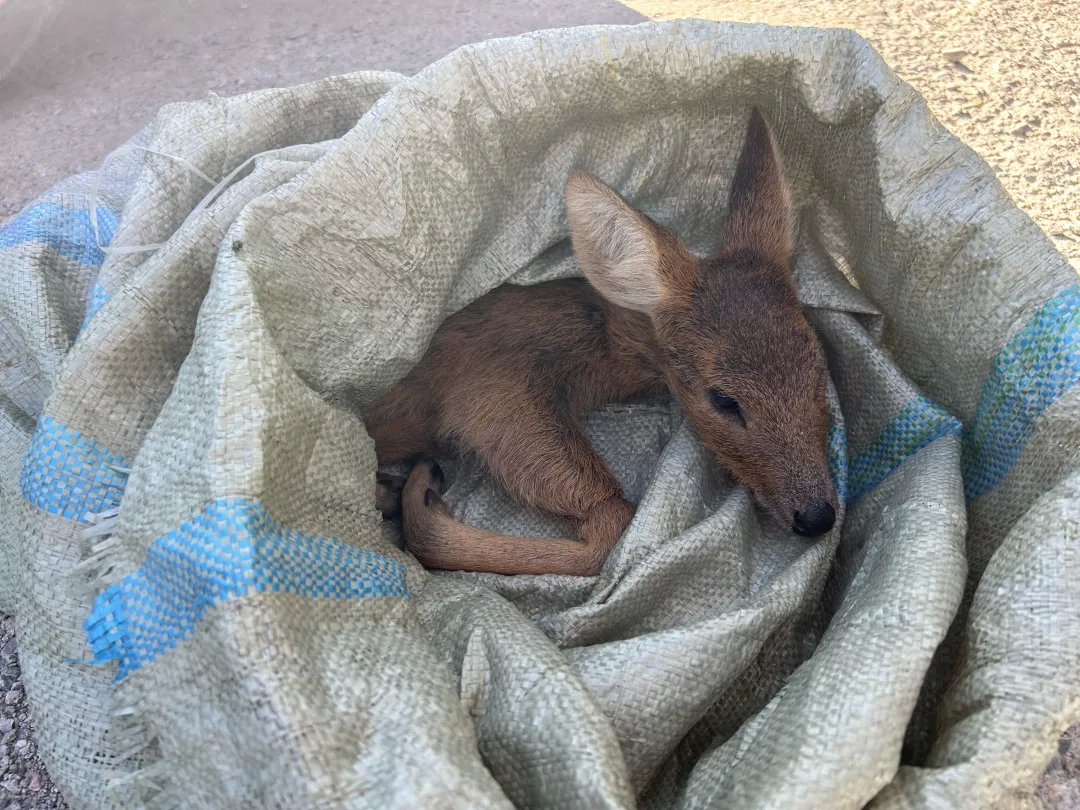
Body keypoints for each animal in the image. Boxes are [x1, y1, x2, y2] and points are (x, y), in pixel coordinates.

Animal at [369, 109, 833, 578]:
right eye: (723, 400)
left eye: (818, 373)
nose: (817, 516)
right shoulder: (486, 382)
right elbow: (611, 520)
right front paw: (420, 498)